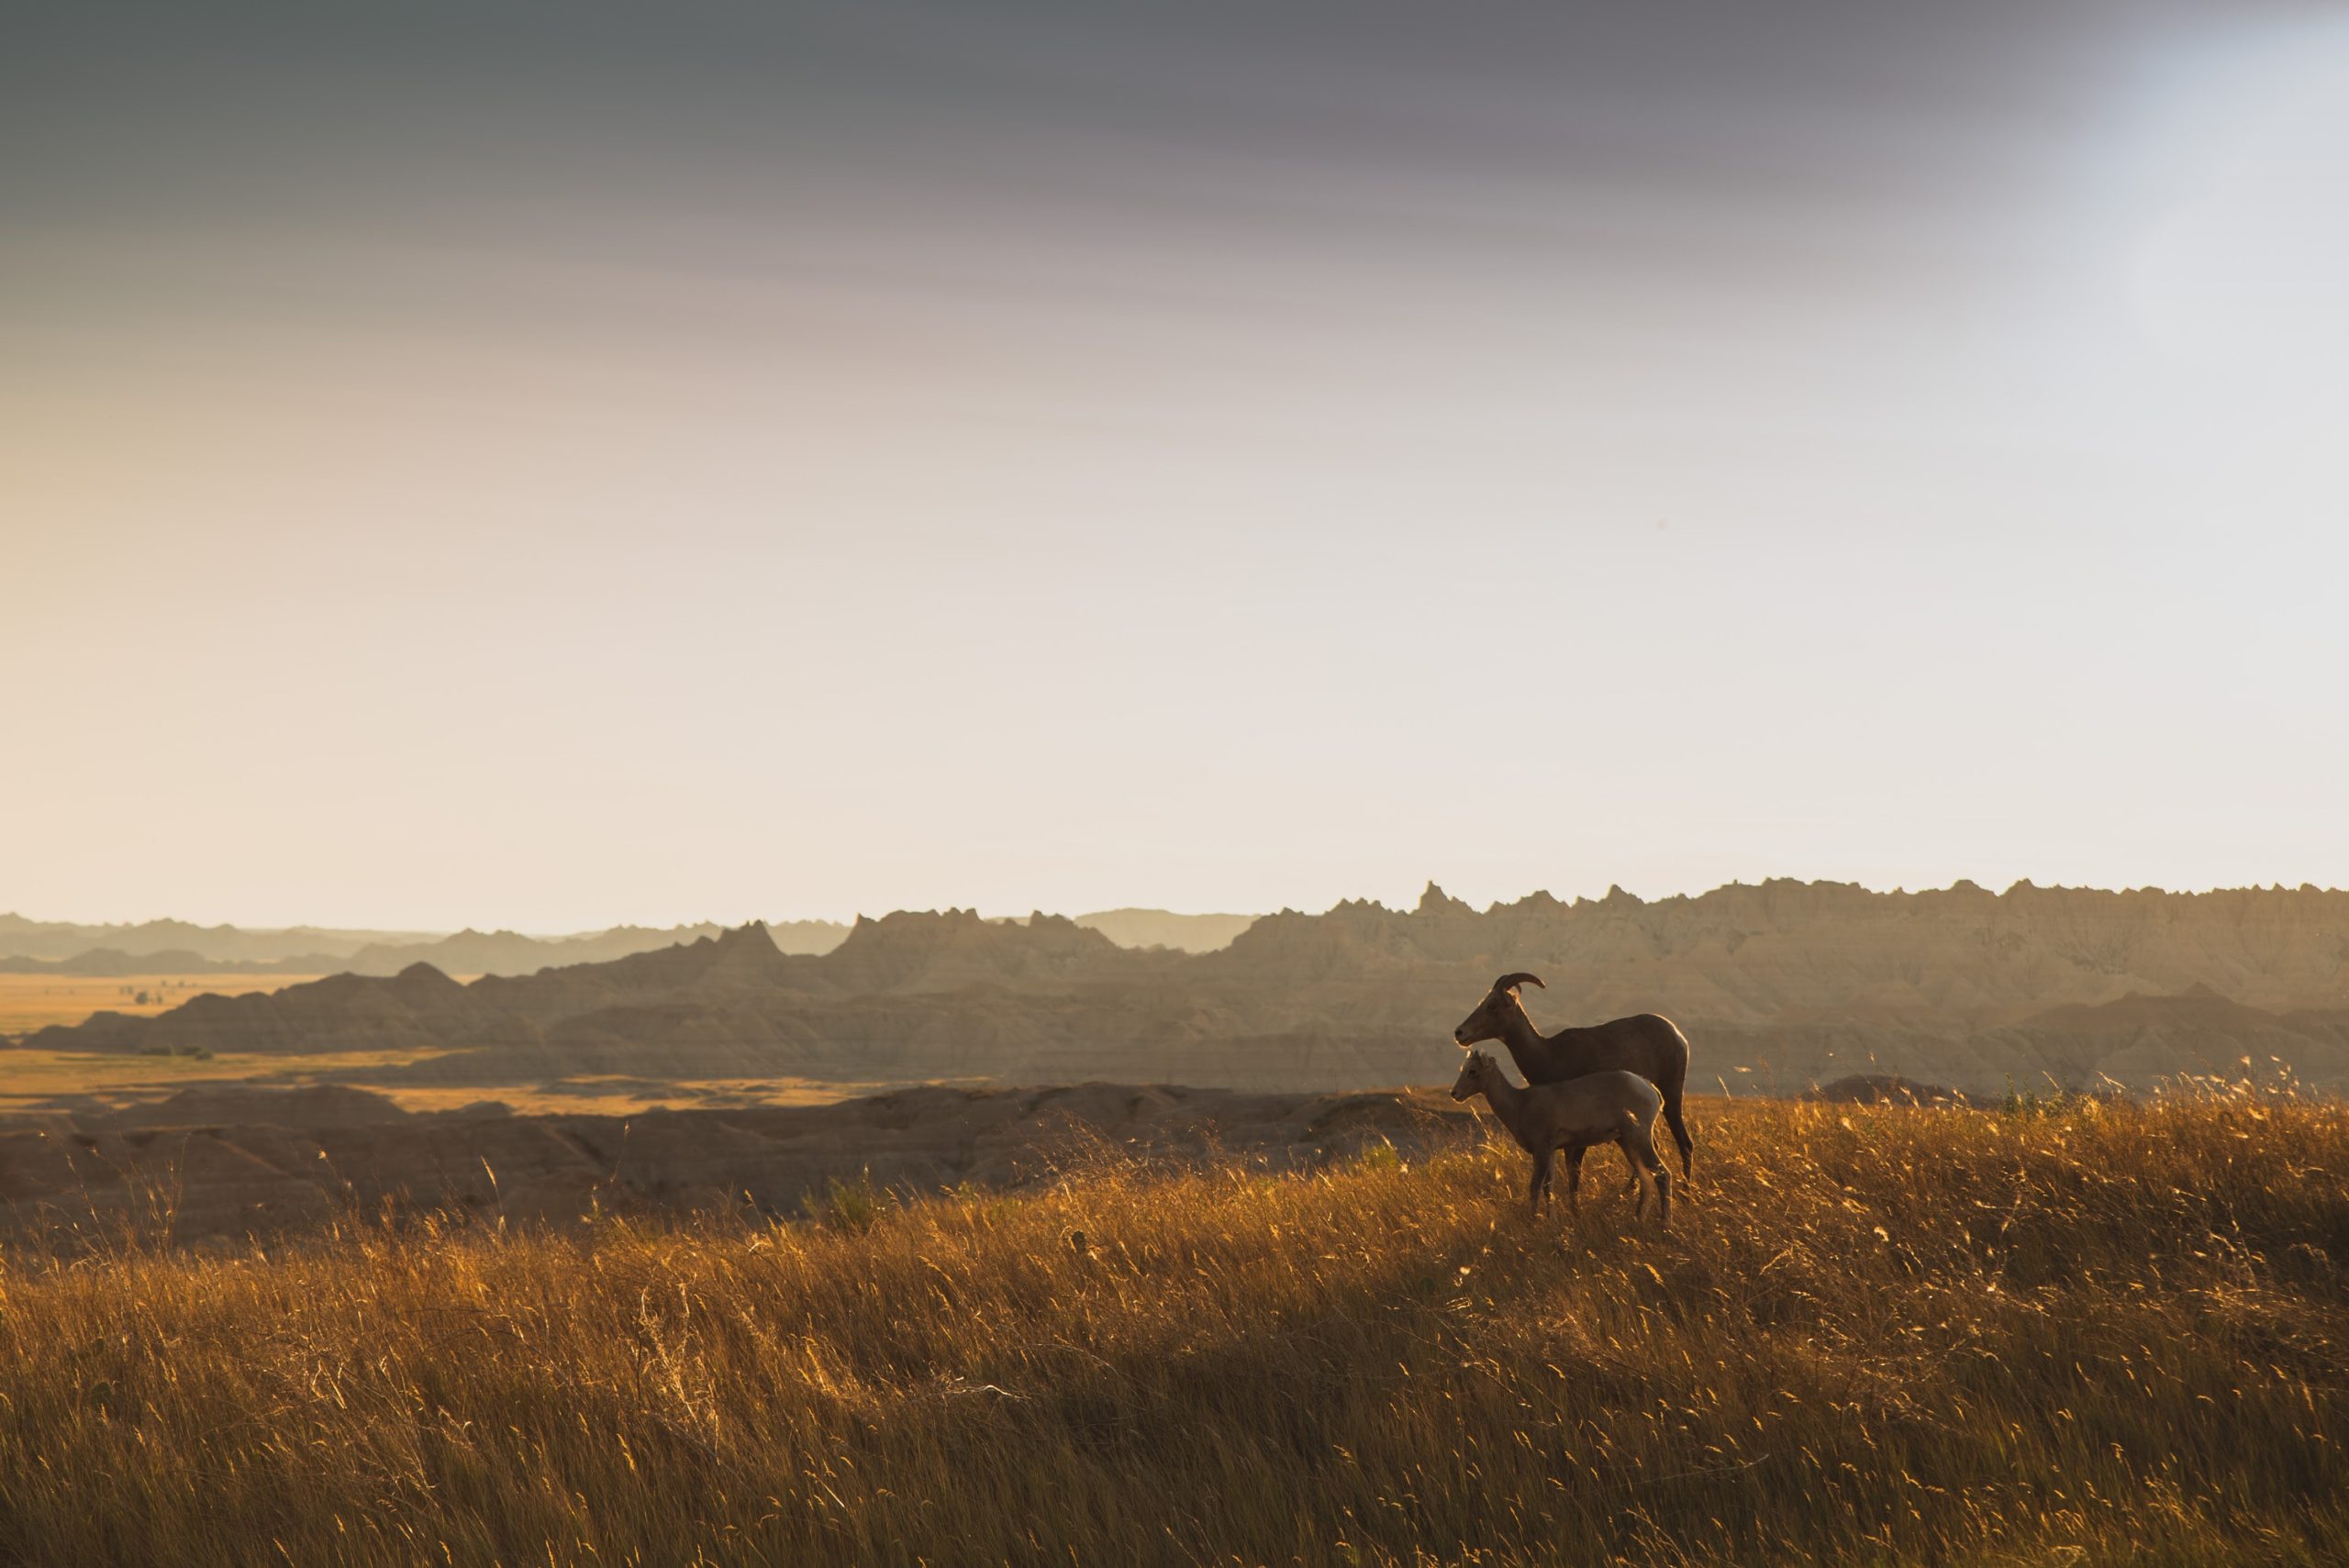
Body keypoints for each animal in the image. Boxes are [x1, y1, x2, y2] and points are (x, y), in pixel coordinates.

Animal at [1437, 972, 1700, 1183]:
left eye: (1492, 1005)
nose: (1460, 1033)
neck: (1550, 1054)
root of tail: (1679, 1037)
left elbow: (1574, 1170)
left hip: (1671, 1095)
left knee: (1685, 1144)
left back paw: (1685, 1194)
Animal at [1446, 1051, 1672, 1220]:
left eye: (1472, 1071)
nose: (1454, 1094)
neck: (1520, 1104)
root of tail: (1648, 1088)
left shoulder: (1541, 1150)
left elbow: (1535, 1187)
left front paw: (1533, 1222)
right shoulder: (1551, 1152)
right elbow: (1549, 1188)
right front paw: (1551, 1221)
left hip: (1640, 1139)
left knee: (1662, 1174)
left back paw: (1664, 1224)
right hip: (1627, 1142)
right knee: (1646, 1180)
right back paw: (1638, 1220)